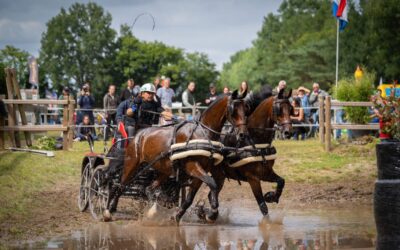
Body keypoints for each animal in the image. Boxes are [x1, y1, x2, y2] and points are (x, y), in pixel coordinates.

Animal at [108, 90, 248, 223]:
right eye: (233, 110)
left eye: (245, 108)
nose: (242, 134)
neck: (202, 133)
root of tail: (139, 134)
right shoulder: (193, 166)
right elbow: (213, 184)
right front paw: (212, 212)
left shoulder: (200, 172)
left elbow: (189, 199)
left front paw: (176, 217)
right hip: (132, 163)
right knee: (120, 185)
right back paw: (109, 210)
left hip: (164, 170)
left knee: (148, 188)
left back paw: (153, 209)